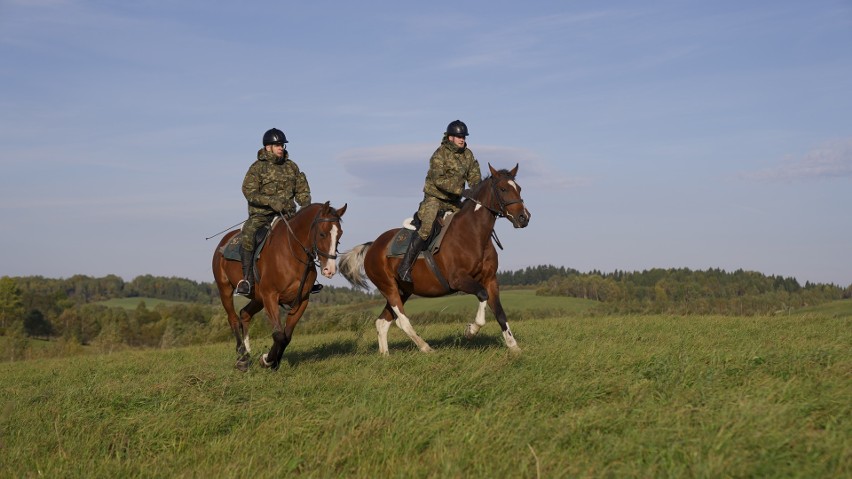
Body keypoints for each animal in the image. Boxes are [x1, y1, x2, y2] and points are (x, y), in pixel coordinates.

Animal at [212, 202, 346, 372]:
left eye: (339, 234)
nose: (330, 270)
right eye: (322, 234)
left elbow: (286, 336)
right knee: (233, 319)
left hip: (258, 298)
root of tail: (223, 243)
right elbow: (279, 335)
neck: (292, 252)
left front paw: (274, 362)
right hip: (225, 289)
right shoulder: (270, 296)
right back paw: (242, 358)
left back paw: (248, 352)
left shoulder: (301, 301)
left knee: (244, 314)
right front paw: (267, 360)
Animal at [338, 165, 524, 356]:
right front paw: (470, 331)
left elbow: (500, 313)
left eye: (519, 188)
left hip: (402, 290)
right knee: (401, 321)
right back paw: (426, 348)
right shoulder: (459, 280)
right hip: (388, 287)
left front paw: (514, 346)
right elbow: (482, 295)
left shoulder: (490, 280)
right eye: (503, 189)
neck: (474, 234)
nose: (524, 217)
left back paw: (385, 356)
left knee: (382, 322)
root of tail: (372, 246)